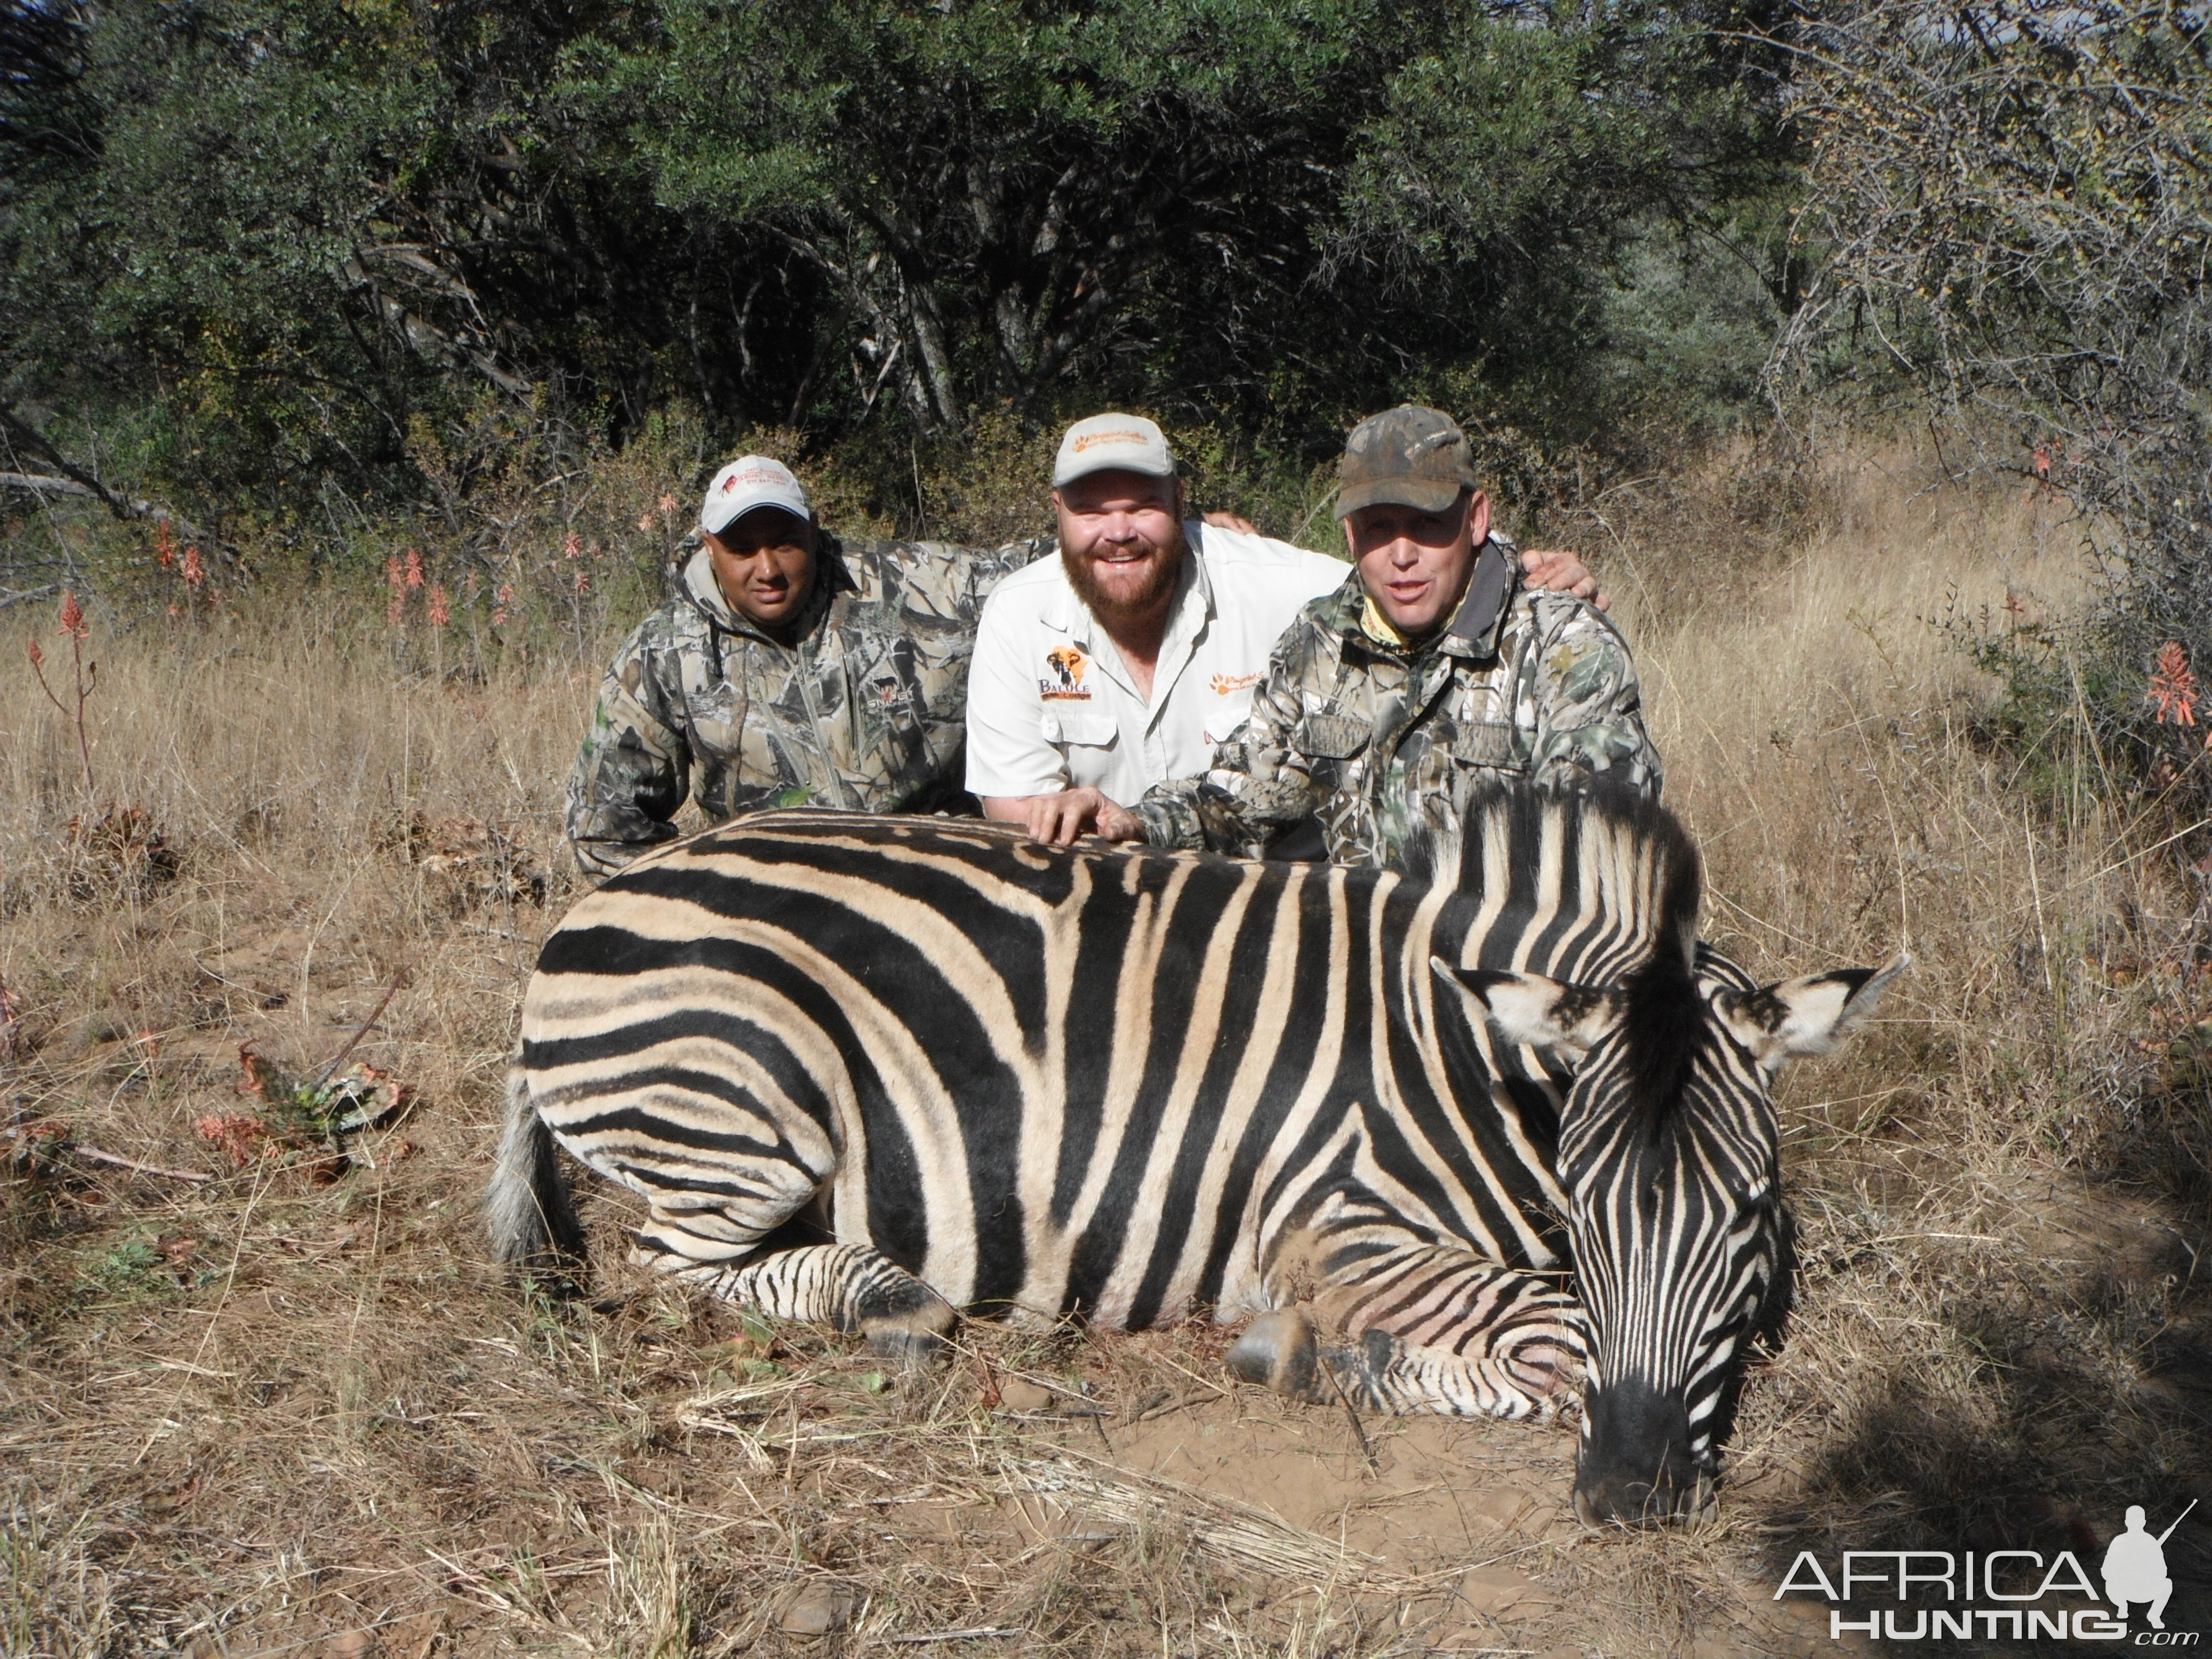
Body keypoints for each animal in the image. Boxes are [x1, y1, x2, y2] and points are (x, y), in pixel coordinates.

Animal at [488, 783, 1902, 1530]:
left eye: (1746, 1208)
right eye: (1589, 1204)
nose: (1630, 1496)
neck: (1468, 1054)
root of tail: (614, 887)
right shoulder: (1332, 1221)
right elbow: (1552, 1335)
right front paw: (1314, 1356)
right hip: (739, 1103)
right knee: (670, 1267)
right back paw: (889, 1301)